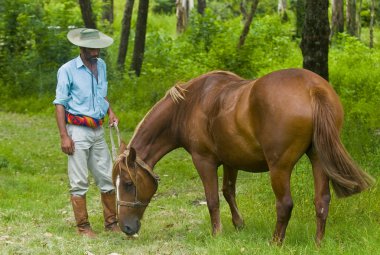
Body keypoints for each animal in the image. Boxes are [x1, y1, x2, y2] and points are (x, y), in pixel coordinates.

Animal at [113, 68, 374, 245]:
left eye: (128, 183)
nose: (125, 227)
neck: (189, 105)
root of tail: (313, 88)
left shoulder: (203, 161)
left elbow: (212, 199)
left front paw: (216, 234)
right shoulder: (231, 160)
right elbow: (228, 190)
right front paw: (239, 224)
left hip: (280, 167)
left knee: (285, 204)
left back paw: (275, 242)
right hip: (319, 158)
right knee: (321, 201)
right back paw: (318, 243)